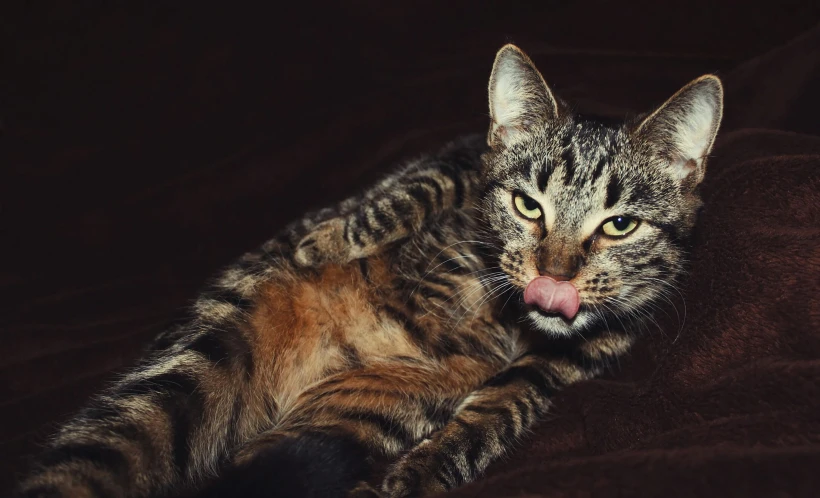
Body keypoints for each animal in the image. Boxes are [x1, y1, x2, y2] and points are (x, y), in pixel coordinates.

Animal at [17, 43, 724, 498]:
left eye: (620, 225)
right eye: (528, 205)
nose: (554, 275)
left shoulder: (583, 352)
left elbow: (501, 406)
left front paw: (423, 469)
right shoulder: (457, 158)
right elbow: (408, 194)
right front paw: (326, 240)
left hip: (346, 420)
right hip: (182, 372)